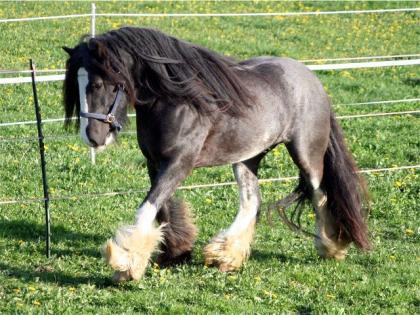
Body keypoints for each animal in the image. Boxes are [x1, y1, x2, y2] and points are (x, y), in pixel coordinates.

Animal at [61, 27, 368, 284]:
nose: (93, 137)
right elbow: (162, 208)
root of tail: (312, 80)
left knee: (319, 194)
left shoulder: (179, 163)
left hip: (306, 154)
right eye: (75, 85)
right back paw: (225, 256)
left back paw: (330, 246)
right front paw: (176, 253)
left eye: (98, 84)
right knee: (251, 201)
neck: (175, 100)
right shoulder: (156, 163)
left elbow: (147, 208)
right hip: (247, 157)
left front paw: (126, 265)